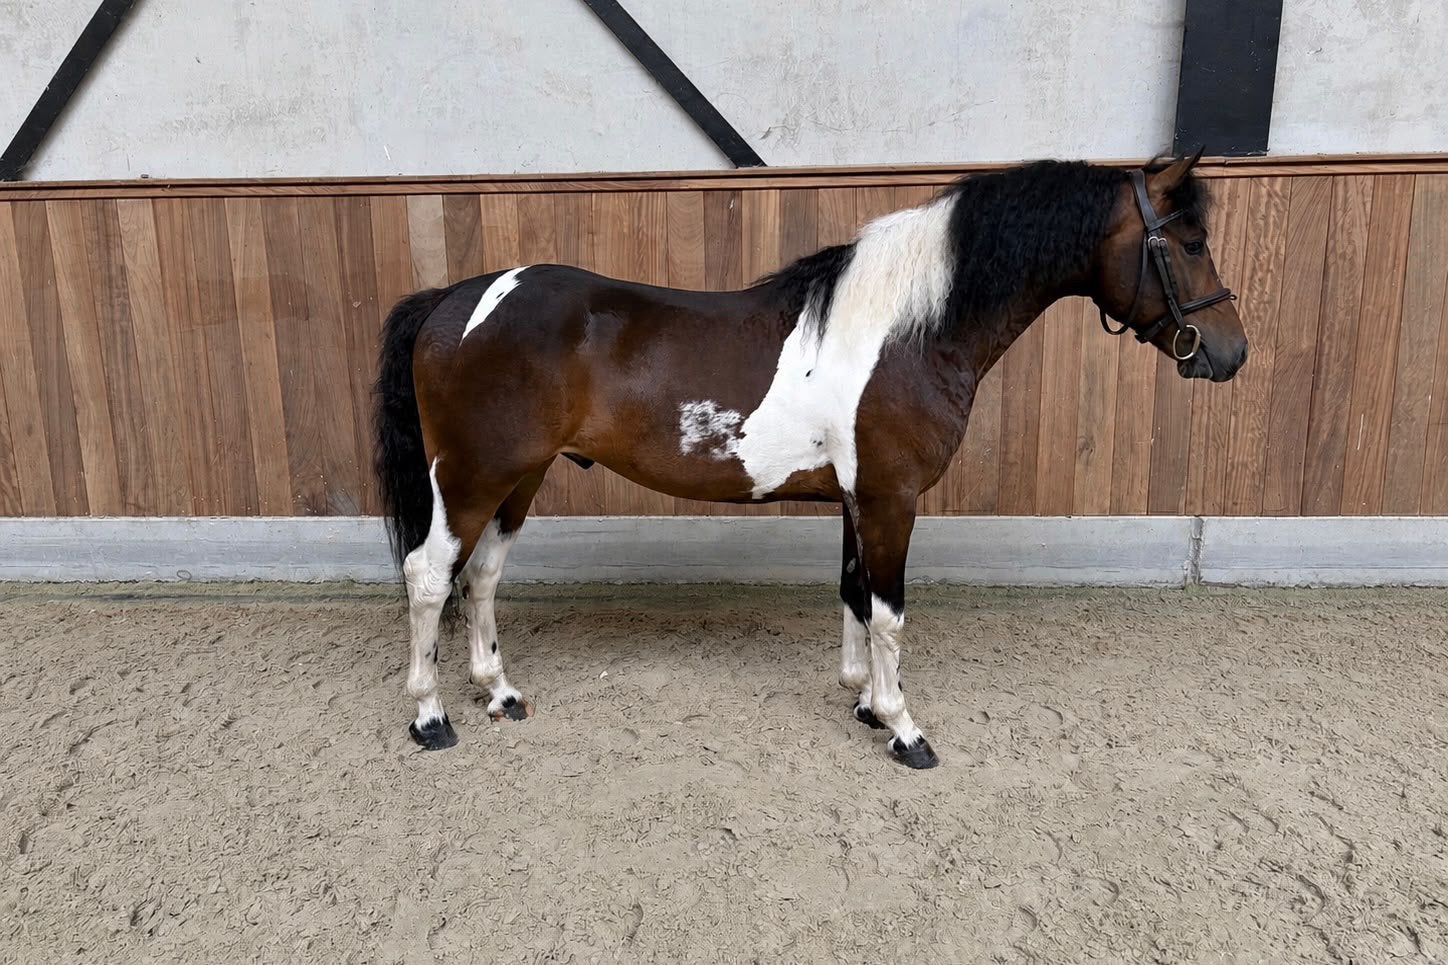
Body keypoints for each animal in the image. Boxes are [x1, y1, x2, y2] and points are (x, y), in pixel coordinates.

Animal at [371, 149, 1248, 769]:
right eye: (1190, 242)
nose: (1230, 353)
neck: (907, 329)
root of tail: (455, 298)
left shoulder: (860, 498)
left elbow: (855, 594)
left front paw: (863, 701)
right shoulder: (894, 496)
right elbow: (889, 611)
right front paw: (903, 726)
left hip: (521, 476)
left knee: (482, 576)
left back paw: (498, 692)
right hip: (473, 476)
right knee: (429, 575)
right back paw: (431, 716)